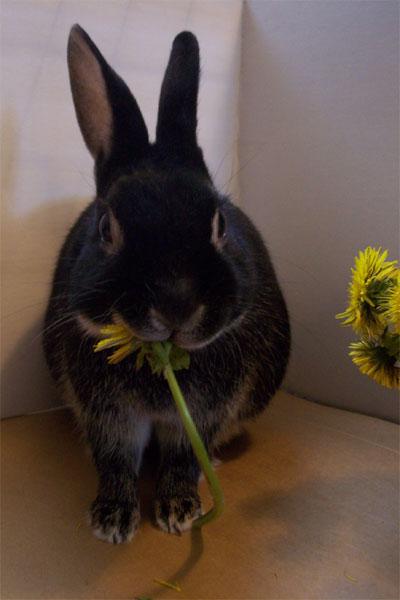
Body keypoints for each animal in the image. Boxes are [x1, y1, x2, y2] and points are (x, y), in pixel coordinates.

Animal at [42, 25, 290, 544]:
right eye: (106, 228)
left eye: (220, 223)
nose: (177, 305)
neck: (159, 362)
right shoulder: (110, 418)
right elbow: (115, 461)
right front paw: (112, 519)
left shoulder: (201, 415)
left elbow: (182, 457)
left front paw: (179, 511)